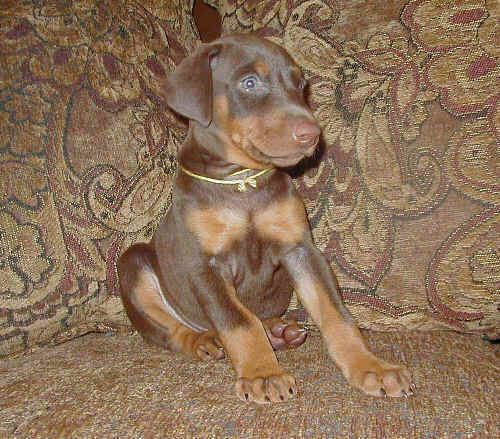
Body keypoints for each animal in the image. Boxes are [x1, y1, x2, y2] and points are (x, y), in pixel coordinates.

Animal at [118, 33, 414, 406]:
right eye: (250, 83)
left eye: (300, 86)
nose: (312, 134)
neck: (243, 183)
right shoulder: (203, 265)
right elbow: (238, 322)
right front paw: (262, 373)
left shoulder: (300, 249)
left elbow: (336, 313)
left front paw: (369, 366)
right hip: (133, 262)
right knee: (171, 330)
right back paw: (206, 340)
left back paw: (277, 331)